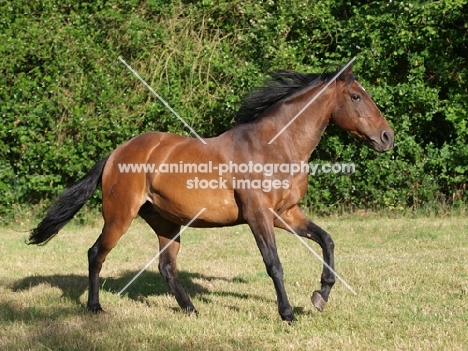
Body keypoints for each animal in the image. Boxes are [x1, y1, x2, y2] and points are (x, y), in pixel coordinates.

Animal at [29, 62, 394, 324]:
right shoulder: (258, 215)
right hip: (120, 216)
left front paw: (320, 296)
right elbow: (274, 264)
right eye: (356, 97)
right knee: (96, 253)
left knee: (166, 267)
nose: (387, 137)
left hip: (166, 222)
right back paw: (94, 307)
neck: (274, 147)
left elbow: (326, 241)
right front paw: (288, 314)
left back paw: (191, 310)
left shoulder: (286, 213)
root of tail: (116, 154)